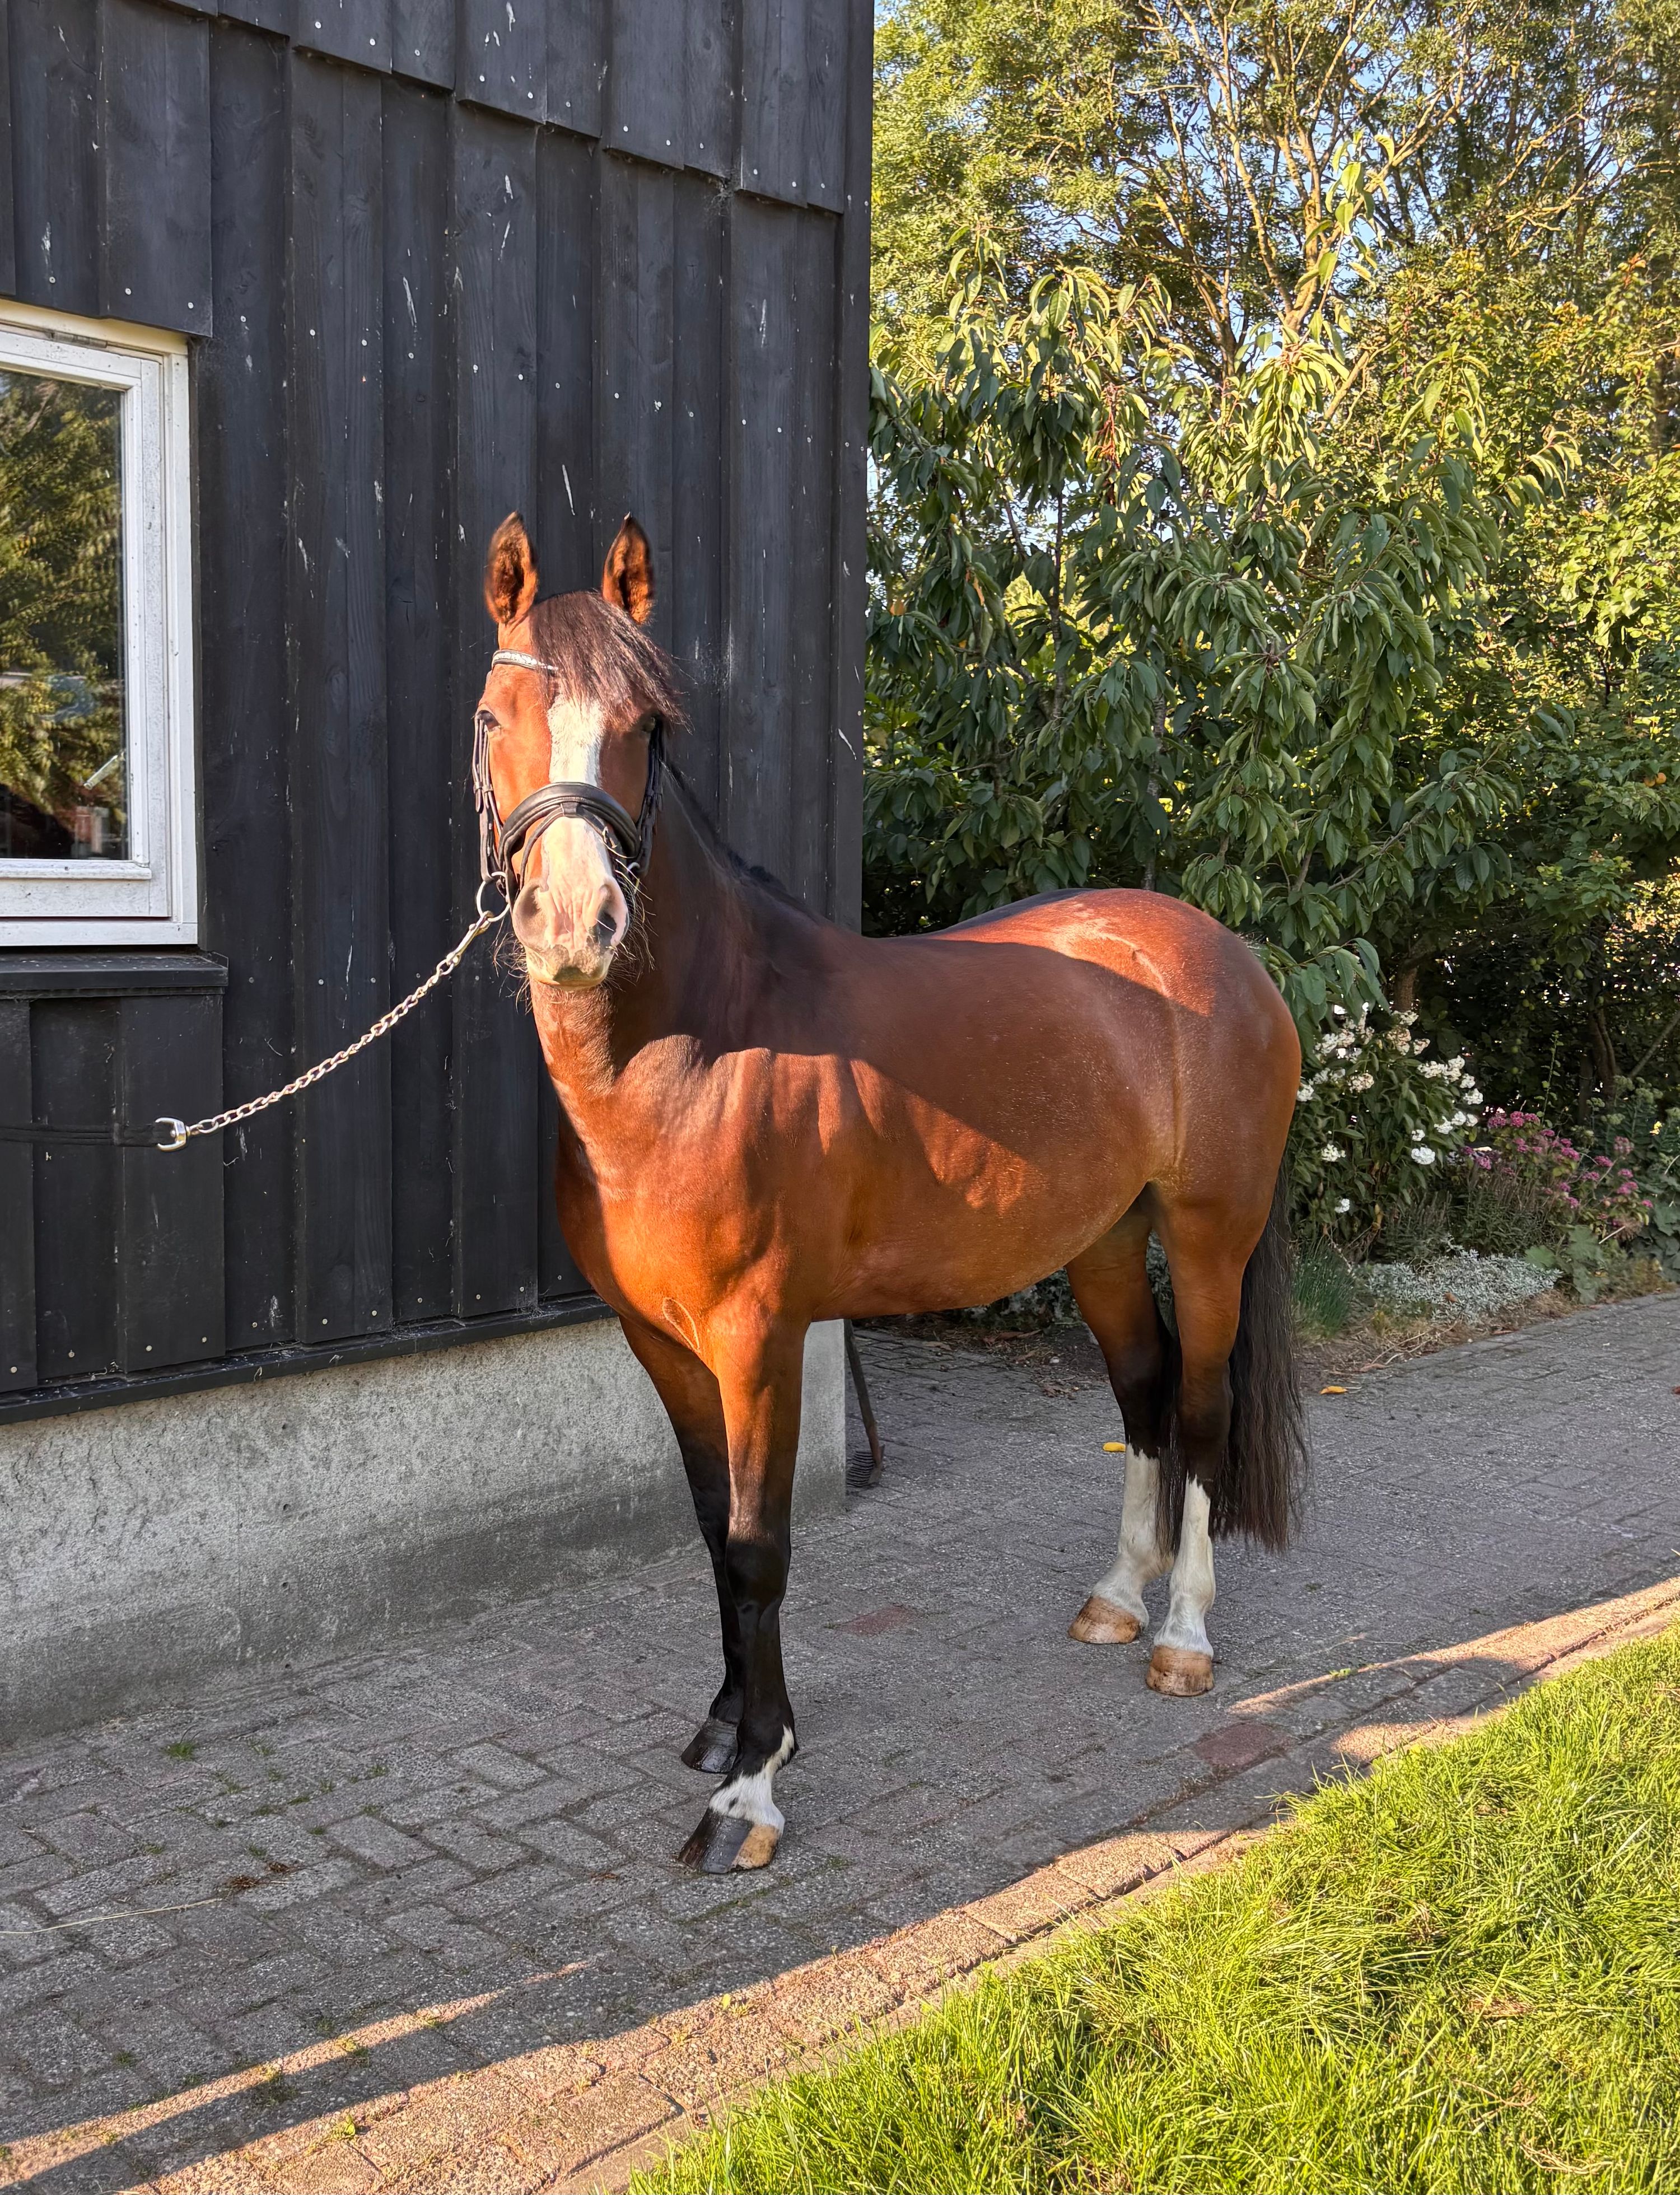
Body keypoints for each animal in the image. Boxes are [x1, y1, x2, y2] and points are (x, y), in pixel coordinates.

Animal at [473, 511, 1306, 1874]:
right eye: (495, 714)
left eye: (650, 725)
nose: (575, 922)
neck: (696, 1050)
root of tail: (1225, 952)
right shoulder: (661, 1344)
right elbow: (711, 1534)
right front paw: (732, 1723)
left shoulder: (761, 1340)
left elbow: (760, 1549)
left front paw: (750, 1792)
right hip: (1101, 1244)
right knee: (1140, 1400)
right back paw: (1114, 1604)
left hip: (1207, 1237)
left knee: (1198, 1407)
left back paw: (1182, 1637)